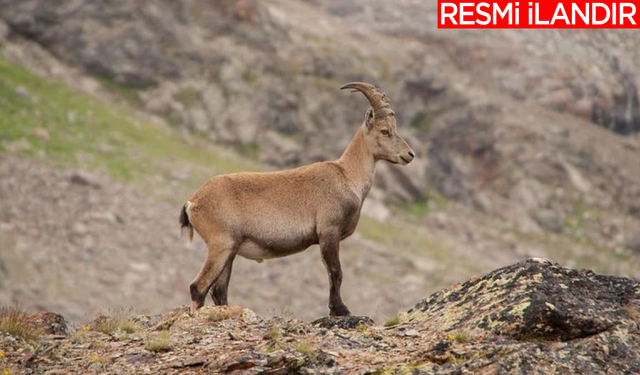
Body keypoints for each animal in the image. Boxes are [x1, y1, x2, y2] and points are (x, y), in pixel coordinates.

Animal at [180, 83, 416, 318]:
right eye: (384, 130)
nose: (409, 154)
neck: (347, 175)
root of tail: (192, 202)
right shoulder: (328, 230)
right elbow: (335, 271)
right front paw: (340, 309)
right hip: (220, 244)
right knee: (197, 287)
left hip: (230, 250)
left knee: (219, 290)